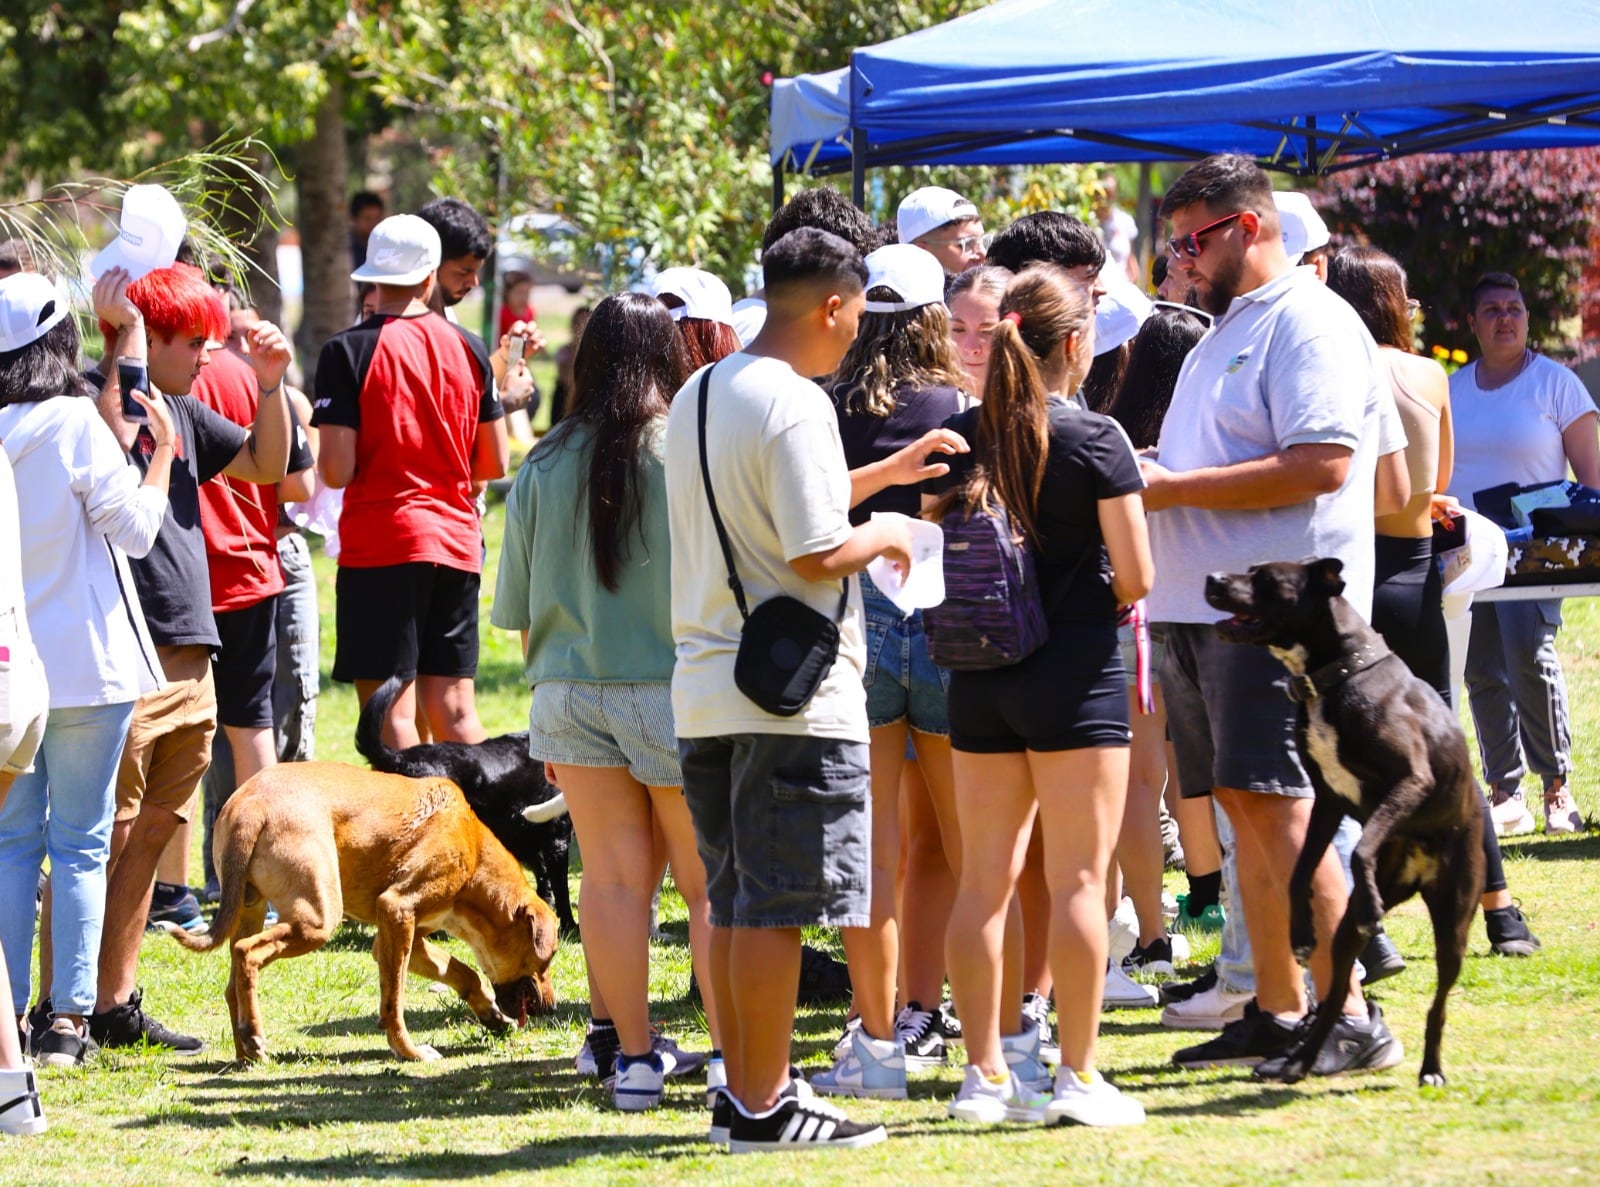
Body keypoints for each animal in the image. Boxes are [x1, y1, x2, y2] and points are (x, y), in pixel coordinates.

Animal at [164, 767, 563, 1062]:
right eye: (549, 957)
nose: (552, 1009)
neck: (473, 849)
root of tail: (252, 804)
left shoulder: (402, 938)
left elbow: (465, 973)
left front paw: (492, 1015)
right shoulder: (398, 913)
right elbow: (394, 1002)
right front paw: (409, 1052)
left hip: (250, 909)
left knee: (233, 981)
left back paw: (247, 1052)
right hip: (317, 920)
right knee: (247, 953)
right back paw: (253, 1034)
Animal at [355, 678, 576, 940]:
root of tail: (400, 758)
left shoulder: (525, 839)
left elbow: (544, 881)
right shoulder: (556, 839)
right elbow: (560, 888)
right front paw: (570, 926)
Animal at [1209, 556, 1484, 1087]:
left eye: (1267, 579)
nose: (1212, 579)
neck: (1334, 676)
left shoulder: (1410, 780)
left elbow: (1359, 849)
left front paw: (1370, 904)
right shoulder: (1327, 799)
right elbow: (1298, 874)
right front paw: (1299, 933)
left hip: (1454, 921)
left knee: (1439, 1002)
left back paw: (1431, 1069)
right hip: (1345, 937)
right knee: (1335, 995)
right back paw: (1299, 1061)